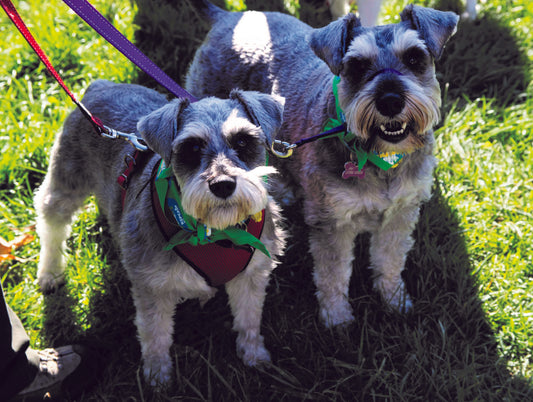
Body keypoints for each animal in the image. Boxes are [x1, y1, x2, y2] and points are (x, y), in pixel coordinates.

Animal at [34, 79, 284, 386]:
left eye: (242, 141)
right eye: (191, 147)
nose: (223, 184)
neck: (214, 234)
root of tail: (99, 85)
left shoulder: (250, 276)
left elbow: (249, 319)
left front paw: (255, 356)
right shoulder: (152, 286)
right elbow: (155, 334)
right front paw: (157, 376)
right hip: (67, 182)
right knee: (51, 222)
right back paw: (50, 272)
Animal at [186, 3, 458, 328]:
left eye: (414, 57)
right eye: (357, 66)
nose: (390, 101)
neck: (380, 157)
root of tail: (227, 17)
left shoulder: (401, 213)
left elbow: (390, 260)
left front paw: (395, 300)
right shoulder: (333, 223)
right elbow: (333, 274)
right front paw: (337, 319)